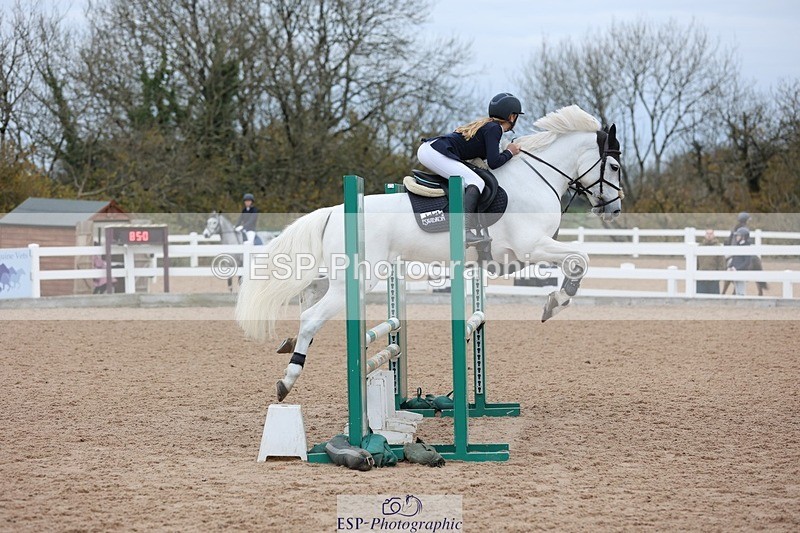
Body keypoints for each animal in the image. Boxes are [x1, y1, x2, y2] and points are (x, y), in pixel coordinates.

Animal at [235, 105, 624, 402]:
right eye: (616, 167)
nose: (615, 211)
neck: (534, 178)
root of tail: (333, 210)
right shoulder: (532, 246)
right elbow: (580, 260)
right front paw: (556, 302)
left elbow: (576, 260)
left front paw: (557, 299)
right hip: (359, 279)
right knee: (311, 316)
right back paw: (288, 378)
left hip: (336, 275)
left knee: (308, 297)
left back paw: (288, 344)